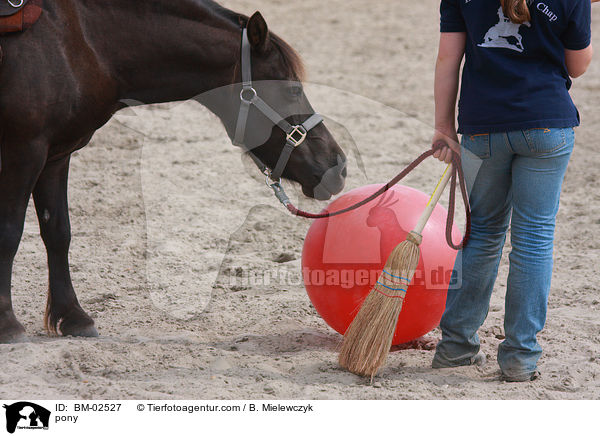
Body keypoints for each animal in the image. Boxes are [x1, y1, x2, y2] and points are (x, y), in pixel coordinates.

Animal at [0, 0, 346, 344]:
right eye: (291, 90)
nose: (338, 166)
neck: (81, 42)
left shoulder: (56, 156)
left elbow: (58, 233)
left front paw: (73, 316)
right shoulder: (24, 151)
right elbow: (10, 233)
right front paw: (7, 323)